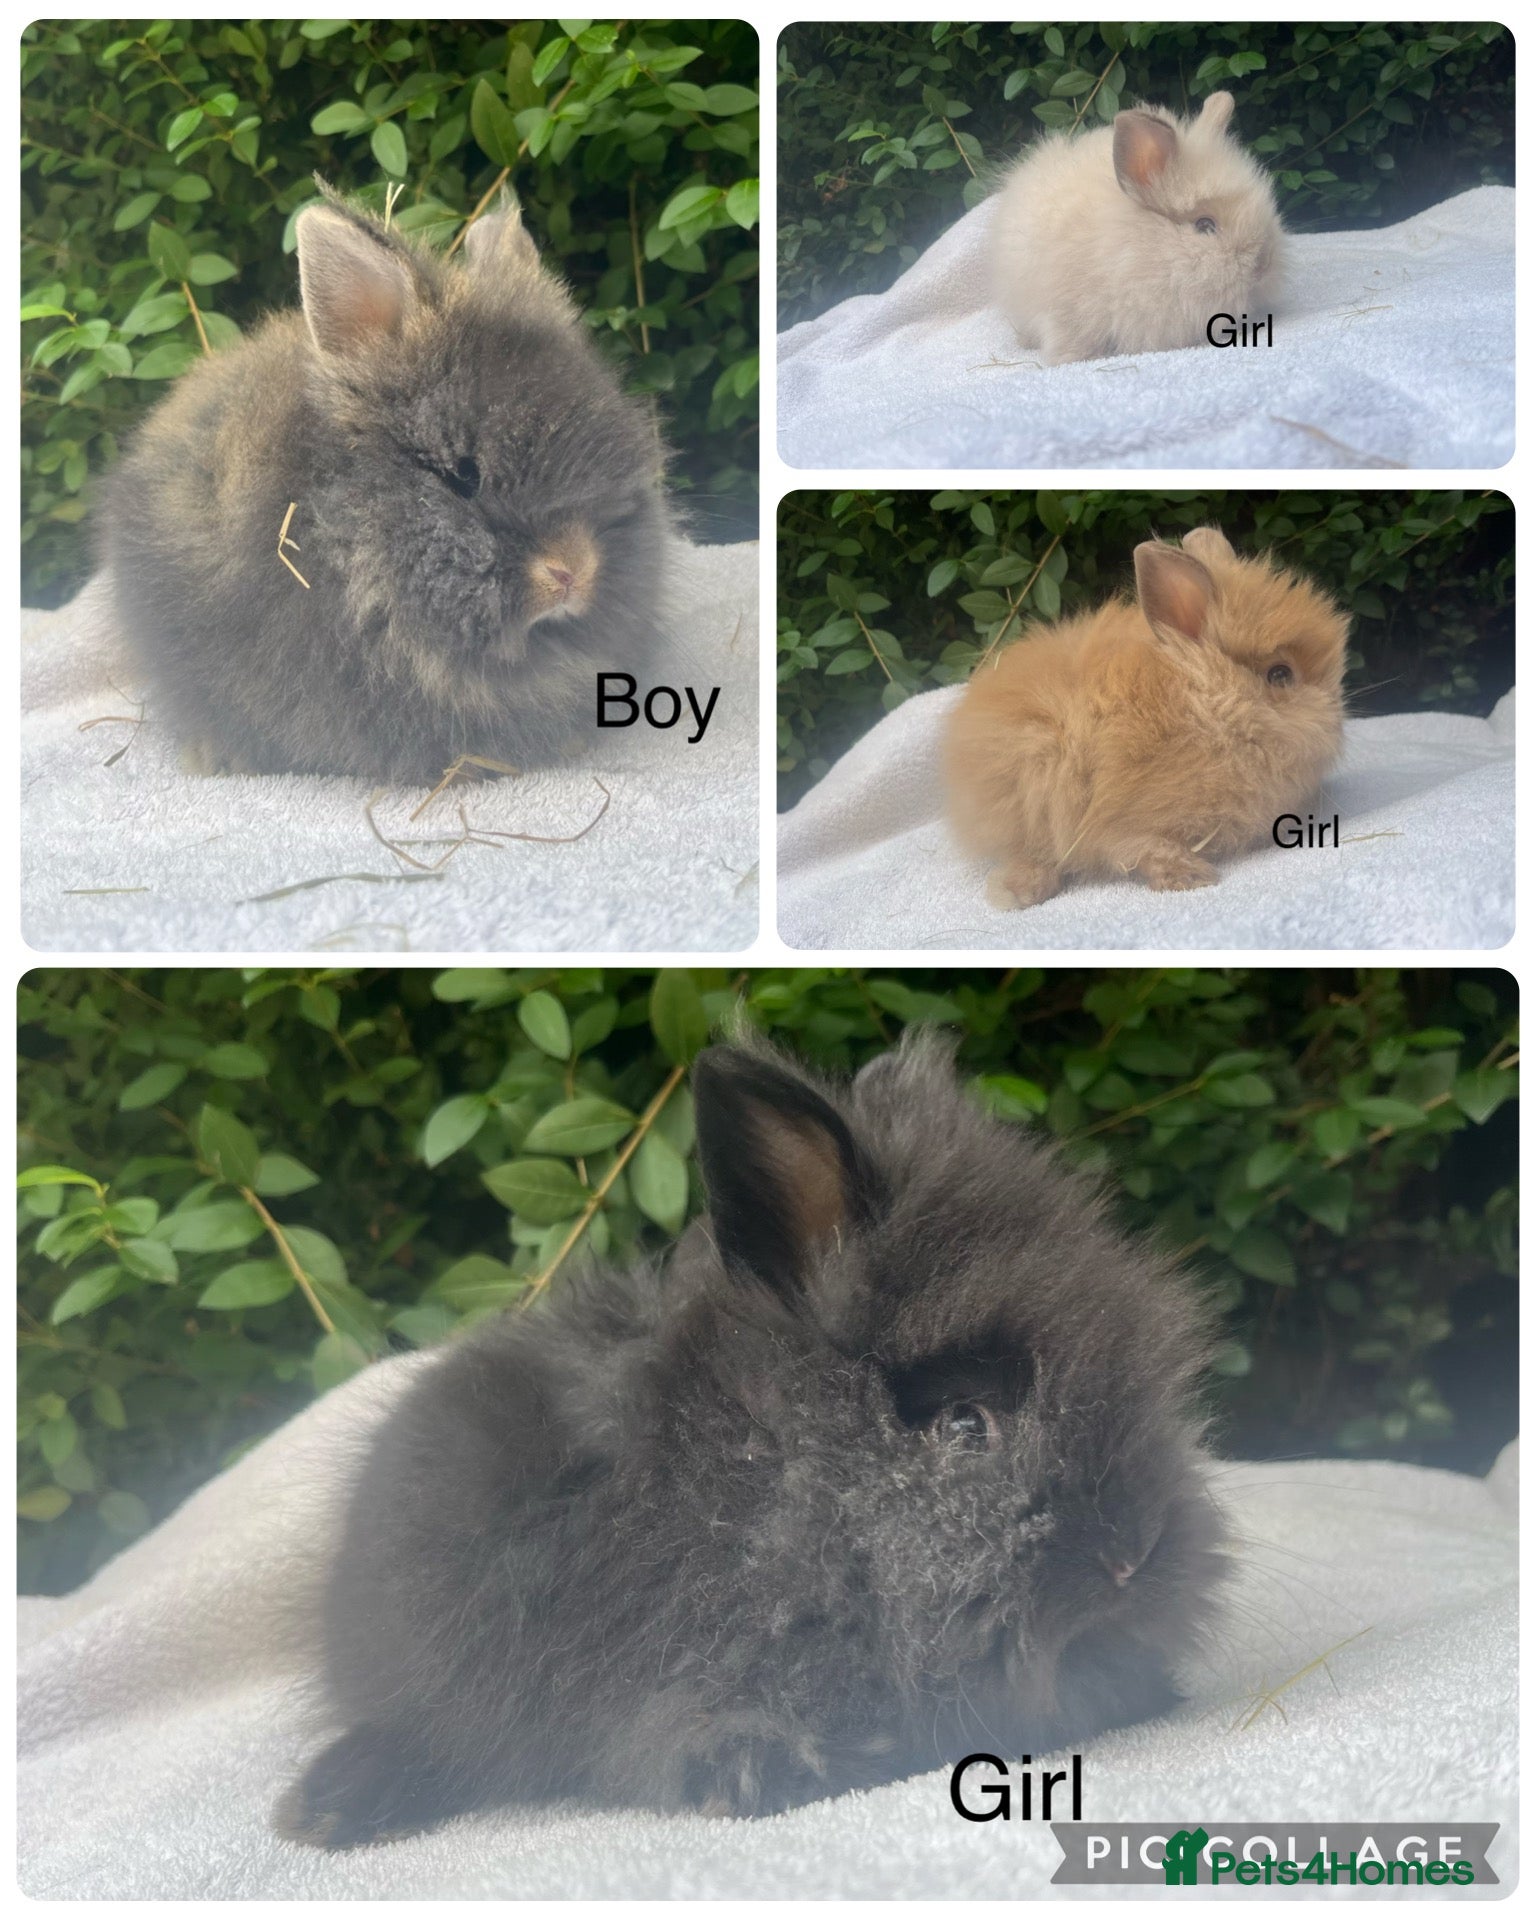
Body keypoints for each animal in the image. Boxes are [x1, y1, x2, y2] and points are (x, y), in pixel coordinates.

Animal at [943, 526, 1349, 910]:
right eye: (1281, 674)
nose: (1337, 719)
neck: (1205, 710)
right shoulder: (1116, 819)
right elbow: (1138, 847)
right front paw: (1192, 876)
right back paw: (1016, 893)